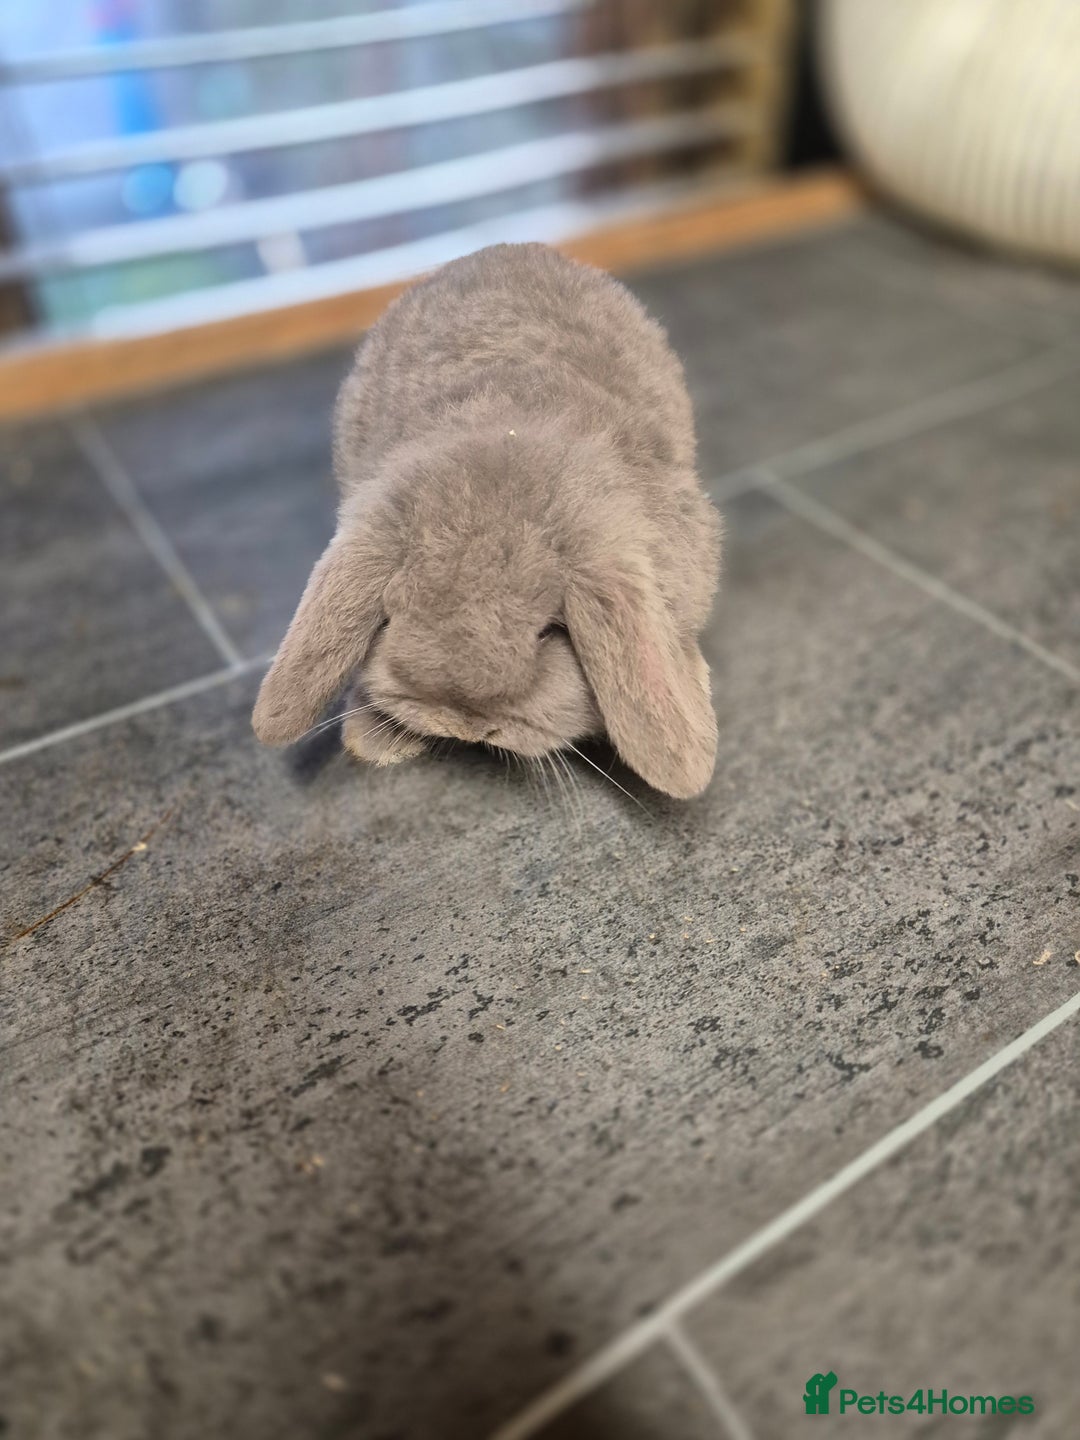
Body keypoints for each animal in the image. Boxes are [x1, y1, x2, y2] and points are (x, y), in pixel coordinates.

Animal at [252, 242, 722, 799]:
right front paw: (374, 742)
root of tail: (502, 250)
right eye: (391, 614)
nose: (466, 724)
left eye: (550, 632)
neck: (508, 437)